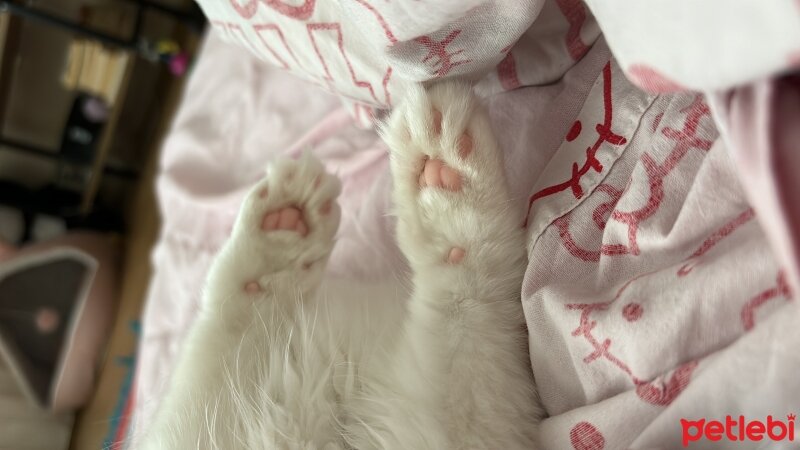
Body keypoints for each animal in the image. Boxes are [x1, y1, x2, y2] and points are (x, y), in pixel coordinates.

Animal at [138, 82, 544, 448]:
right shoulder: (439, 428)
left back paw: (279, 240)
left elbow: (463, 301)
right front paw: (447, 182)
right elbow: (468, 297)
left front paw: (445, 182)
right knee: (221, 335)